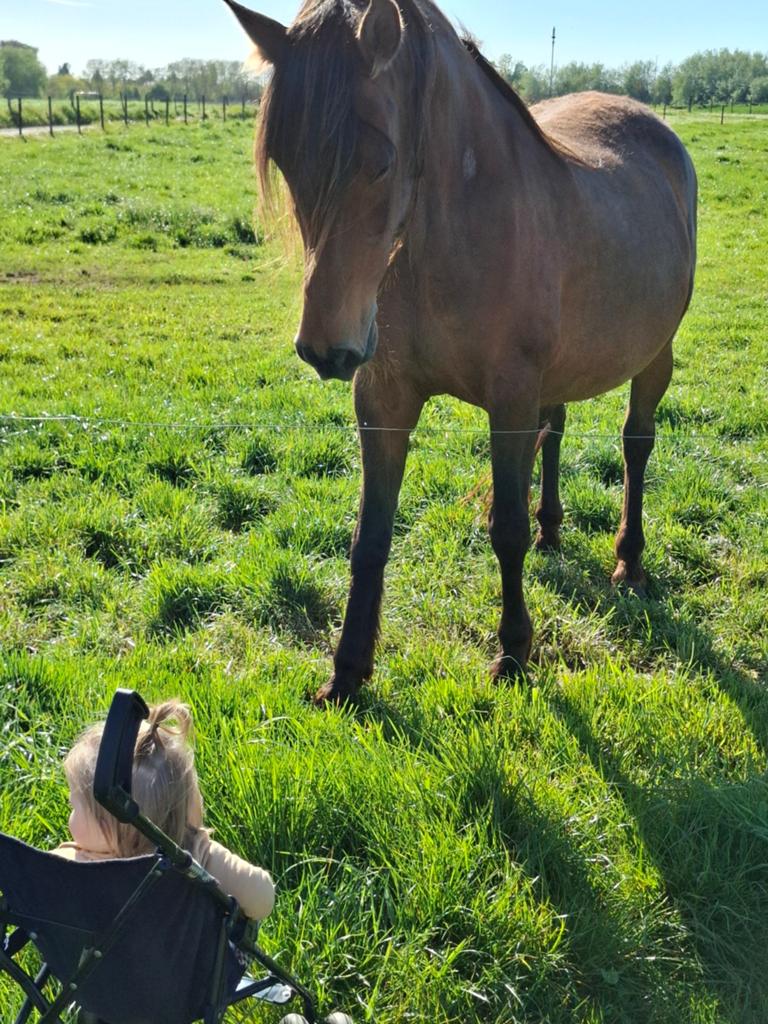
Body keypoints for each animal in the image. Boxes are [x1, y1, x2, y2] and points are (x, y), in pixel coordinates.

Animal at [223, 0, 697, 704]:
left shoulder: (510, 400)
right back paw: (552, 529)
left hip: (653, 356)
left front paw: (514, 652)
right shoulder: (384, 398)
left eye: (381, 160)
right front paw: (347, 672)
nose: (326, 350)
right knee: (557, 431)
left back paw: (629, 562)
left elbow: (504, 529)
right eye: (283, 157)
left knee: (636, 446)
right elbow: (370, 537)